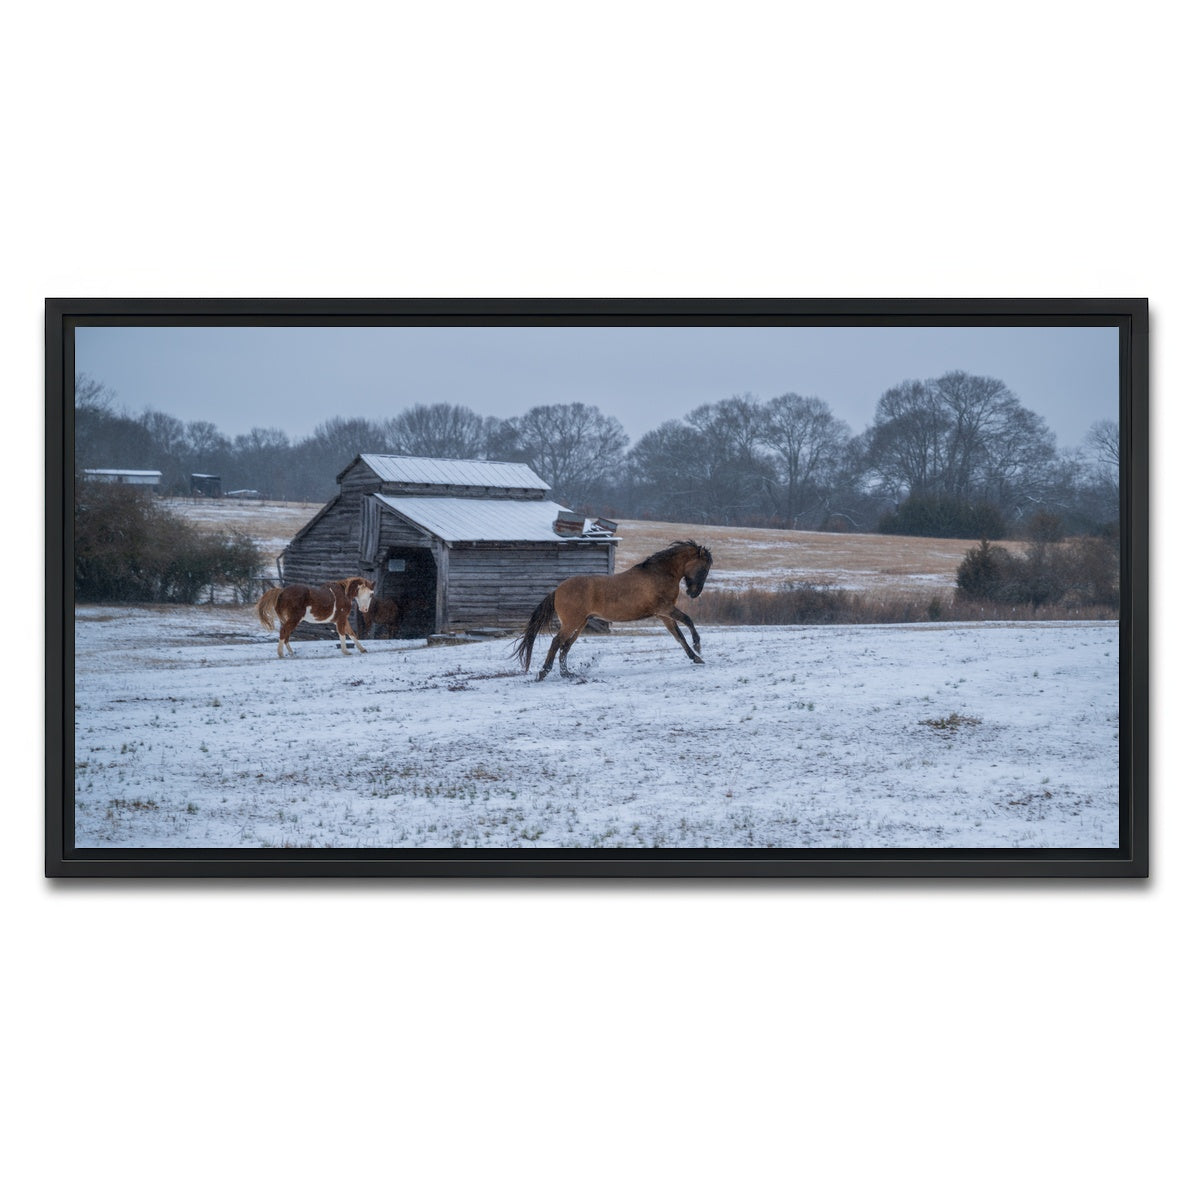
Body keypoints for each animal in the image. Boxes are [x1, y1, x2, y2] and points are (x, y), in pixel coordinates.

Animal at [513, 539, 712, 681]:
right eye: (704, 568)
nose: (694, 593)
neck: (659, 574)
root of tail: (557, 590)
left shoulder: (663, 615)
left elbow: (679, 636)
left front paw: (696, 657)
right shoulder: (666, 609)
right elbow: (688, 621)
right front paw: (698, 646)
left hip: (581, 623)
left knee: (565, 645)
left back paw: (567, 674)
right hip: (572, 622)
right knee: (557, 642)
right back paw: (544, 672)